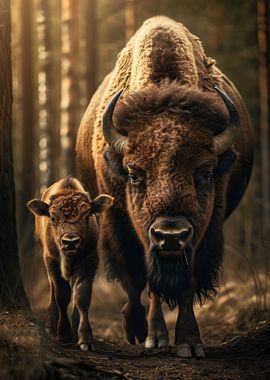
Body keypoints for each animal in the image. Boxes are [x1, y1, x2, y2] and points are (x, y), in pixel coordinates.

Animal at [28, 177, 114, 352]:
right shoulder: (52, 261)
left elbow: (81, 296)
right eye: (53, 218)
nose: (70, 242)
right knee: (53, 290)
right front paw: (63, 334)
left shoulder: (89, 261)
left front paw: (84, 339)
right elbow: (61, 294)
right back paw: (51, 326)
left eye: (86, 216)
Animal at [75, 16, 253, 358]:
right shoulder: (121, 223)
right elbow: (136, 277)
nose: (170, 235)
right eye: (134, 174)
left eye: (206, 172)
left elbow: (187, 282)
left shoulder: (204, 231)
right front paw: (140, 331)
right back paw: (149, 333)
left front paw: (189, 342)